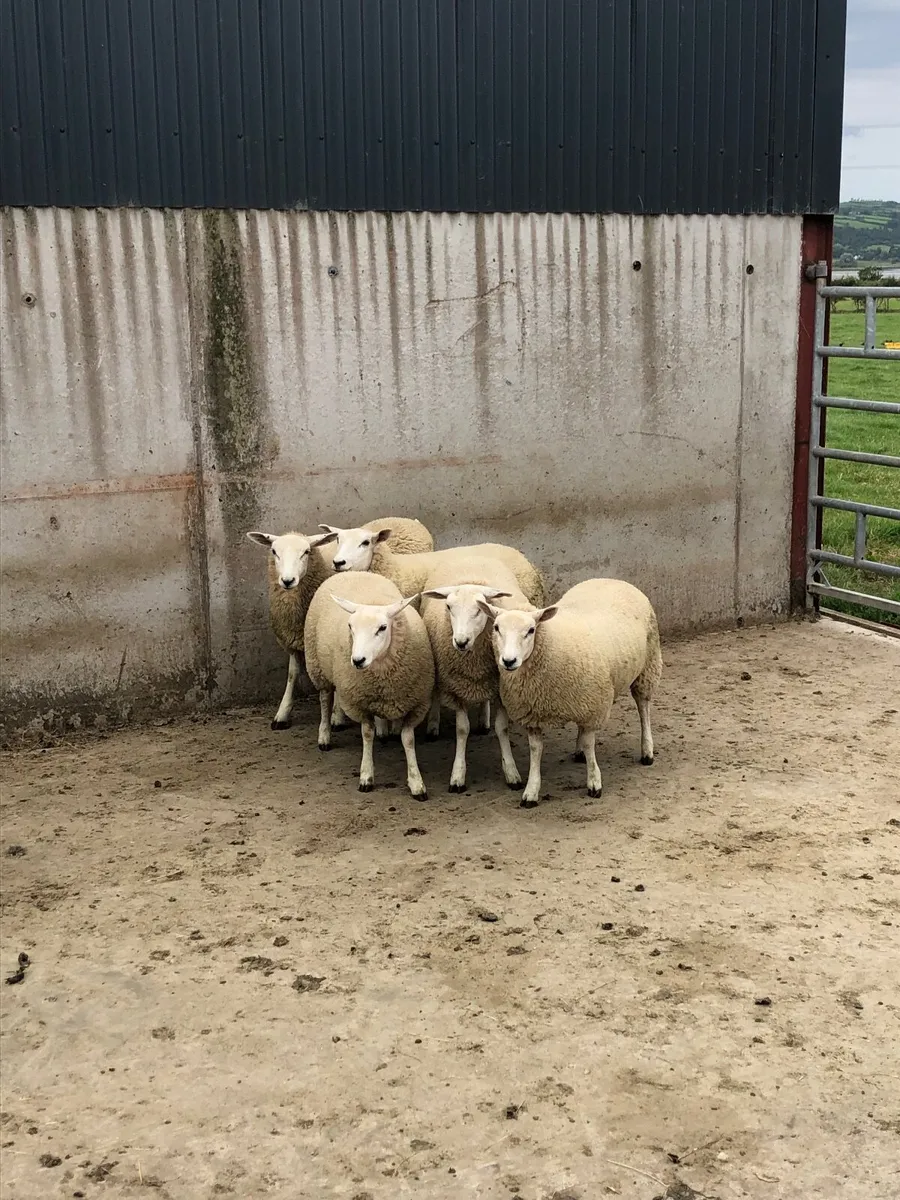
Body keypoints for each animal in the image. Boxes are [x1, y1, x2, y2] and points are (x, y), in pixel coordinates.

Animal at [247, 516, 434, 731]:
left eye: (306, 552)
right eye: (274, 551)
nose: (287, 580)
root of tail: (407, 519)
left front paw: (337, 715)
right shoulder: (296, 638)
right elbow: (293, 674)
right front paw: (282, 713)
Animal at [303, 572, 435, 800]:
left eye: (382, 628)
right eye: (350, 627)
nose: (357, 660)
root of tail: (353, 572)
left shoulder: (416, 703)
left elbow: (408, 739)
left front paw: (416, 782)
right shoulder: (359, 703)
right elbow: (367, 734)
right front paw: (366, 776)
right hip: (318, 667)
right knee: (325, 699)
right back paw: (324, 736)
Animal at [420, 556, 529, 793]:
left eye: (480, 610)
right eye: (449, 607)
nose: (461, 641)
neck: (474, 663)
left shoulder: (499, 687)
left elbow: (502, 729)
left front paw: (511, 772)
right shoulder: (456, 689)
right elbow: (462, 730)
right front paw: (457, 775)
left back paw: (483, 718)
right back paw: (433, 725)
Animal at [479, 579, 662, 808]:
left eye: (531, 630)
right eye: (496, 628)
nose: (508, 661)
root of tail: (612, 579)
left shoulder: (594, 707)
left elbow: (590, 744)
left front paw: (594, 783)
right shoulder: (534, 714)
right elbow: (536, 751)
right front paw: (531, 791)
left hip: (647, 666)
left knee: (643, 708)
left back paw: (647, 751)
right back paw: (578, 751)